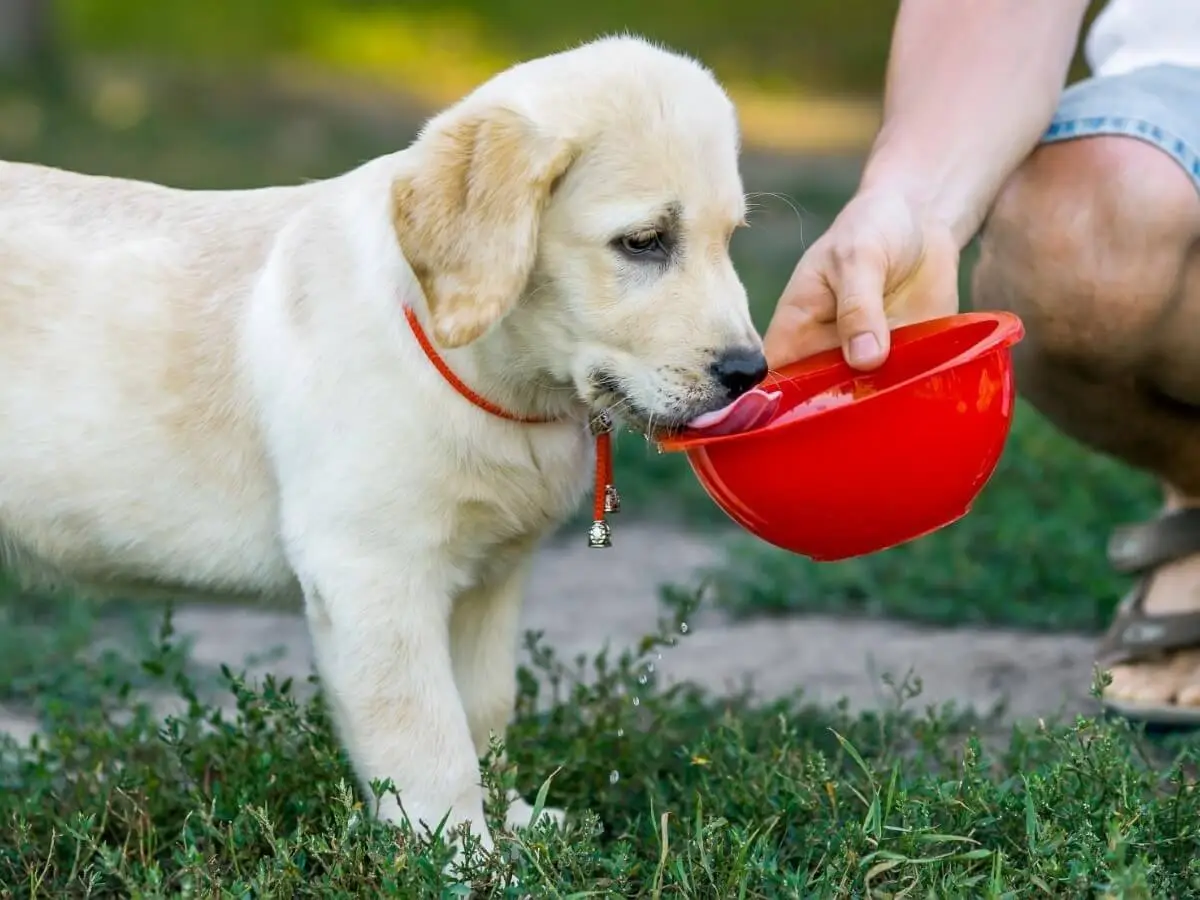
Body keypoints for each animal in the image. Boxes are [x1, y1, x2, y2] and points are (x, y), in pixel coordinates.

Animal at [0, 35, 768, 854]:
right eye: (644, 242)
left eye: (729, 240)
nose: (749, 373)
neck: (484, 371)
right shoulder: (372, 574)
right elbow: (429, 739)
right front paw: (464, 858)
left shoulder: (490, 578)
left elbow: (485, 710)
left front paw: (514, 822)